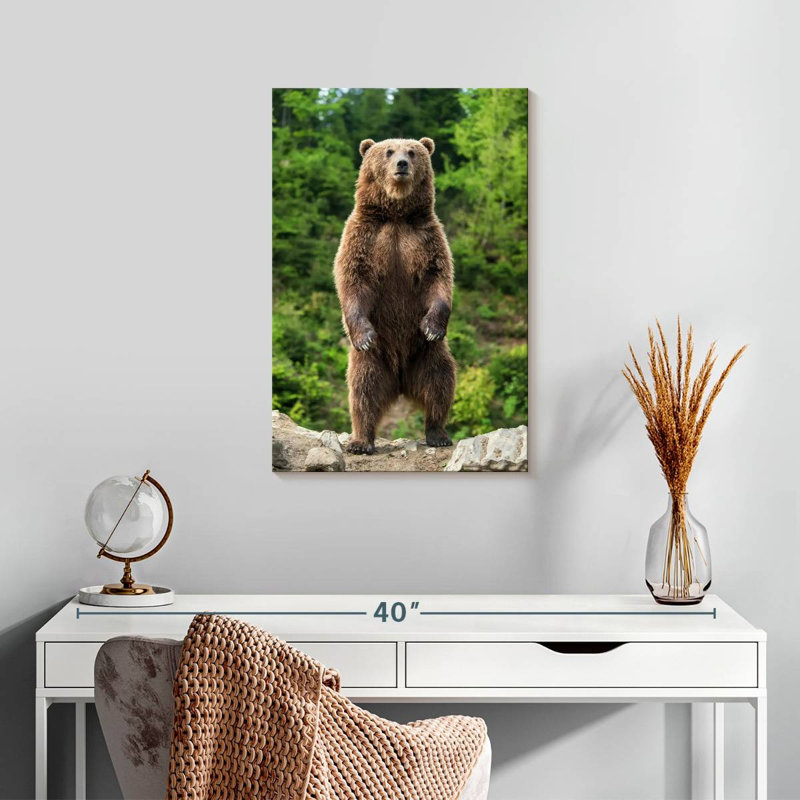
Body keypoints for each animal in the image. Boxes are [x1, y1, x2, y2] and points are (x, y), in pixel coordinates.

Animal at [333, 136, 456, 455]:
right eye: (388, 151)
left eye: (412, 151)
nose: (401, 164)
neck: (397, 214)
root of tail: (401, 382)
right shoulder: (363, 236)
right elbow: (352, 279)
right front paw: (364, 334)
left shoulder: (426, 237)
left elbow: (438, 277)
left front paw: (433, 326)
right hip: (373, 360)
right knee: (363, 392)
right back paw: (361, 441)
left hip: (426, 354)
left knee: (440, 383)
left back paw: (438, 433)